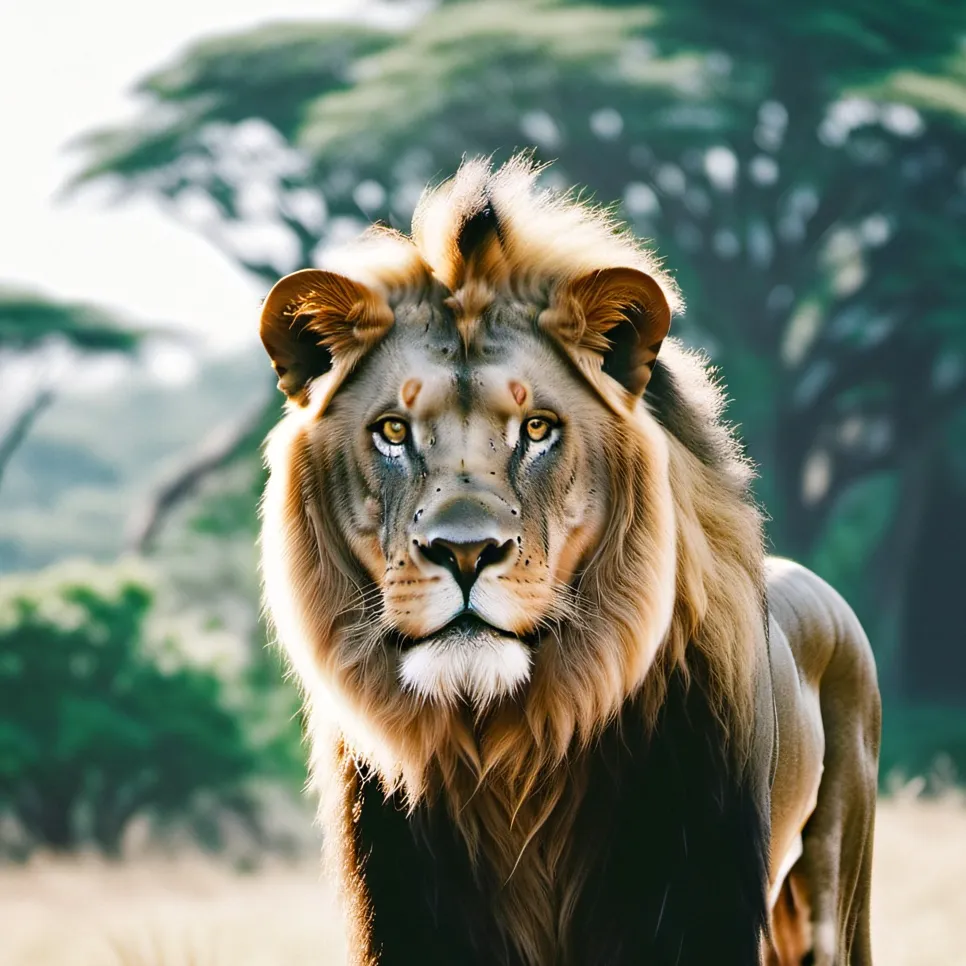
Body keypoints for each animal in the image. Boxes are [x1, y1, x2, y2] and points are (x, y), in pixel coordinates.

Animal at [258, 156, 881, 966]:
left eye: (537, 428)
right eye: (393, 431)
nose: (465, 552)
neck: (514, 746)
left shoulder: (689, 908)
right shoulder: (409, 918)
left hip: (829, 893)